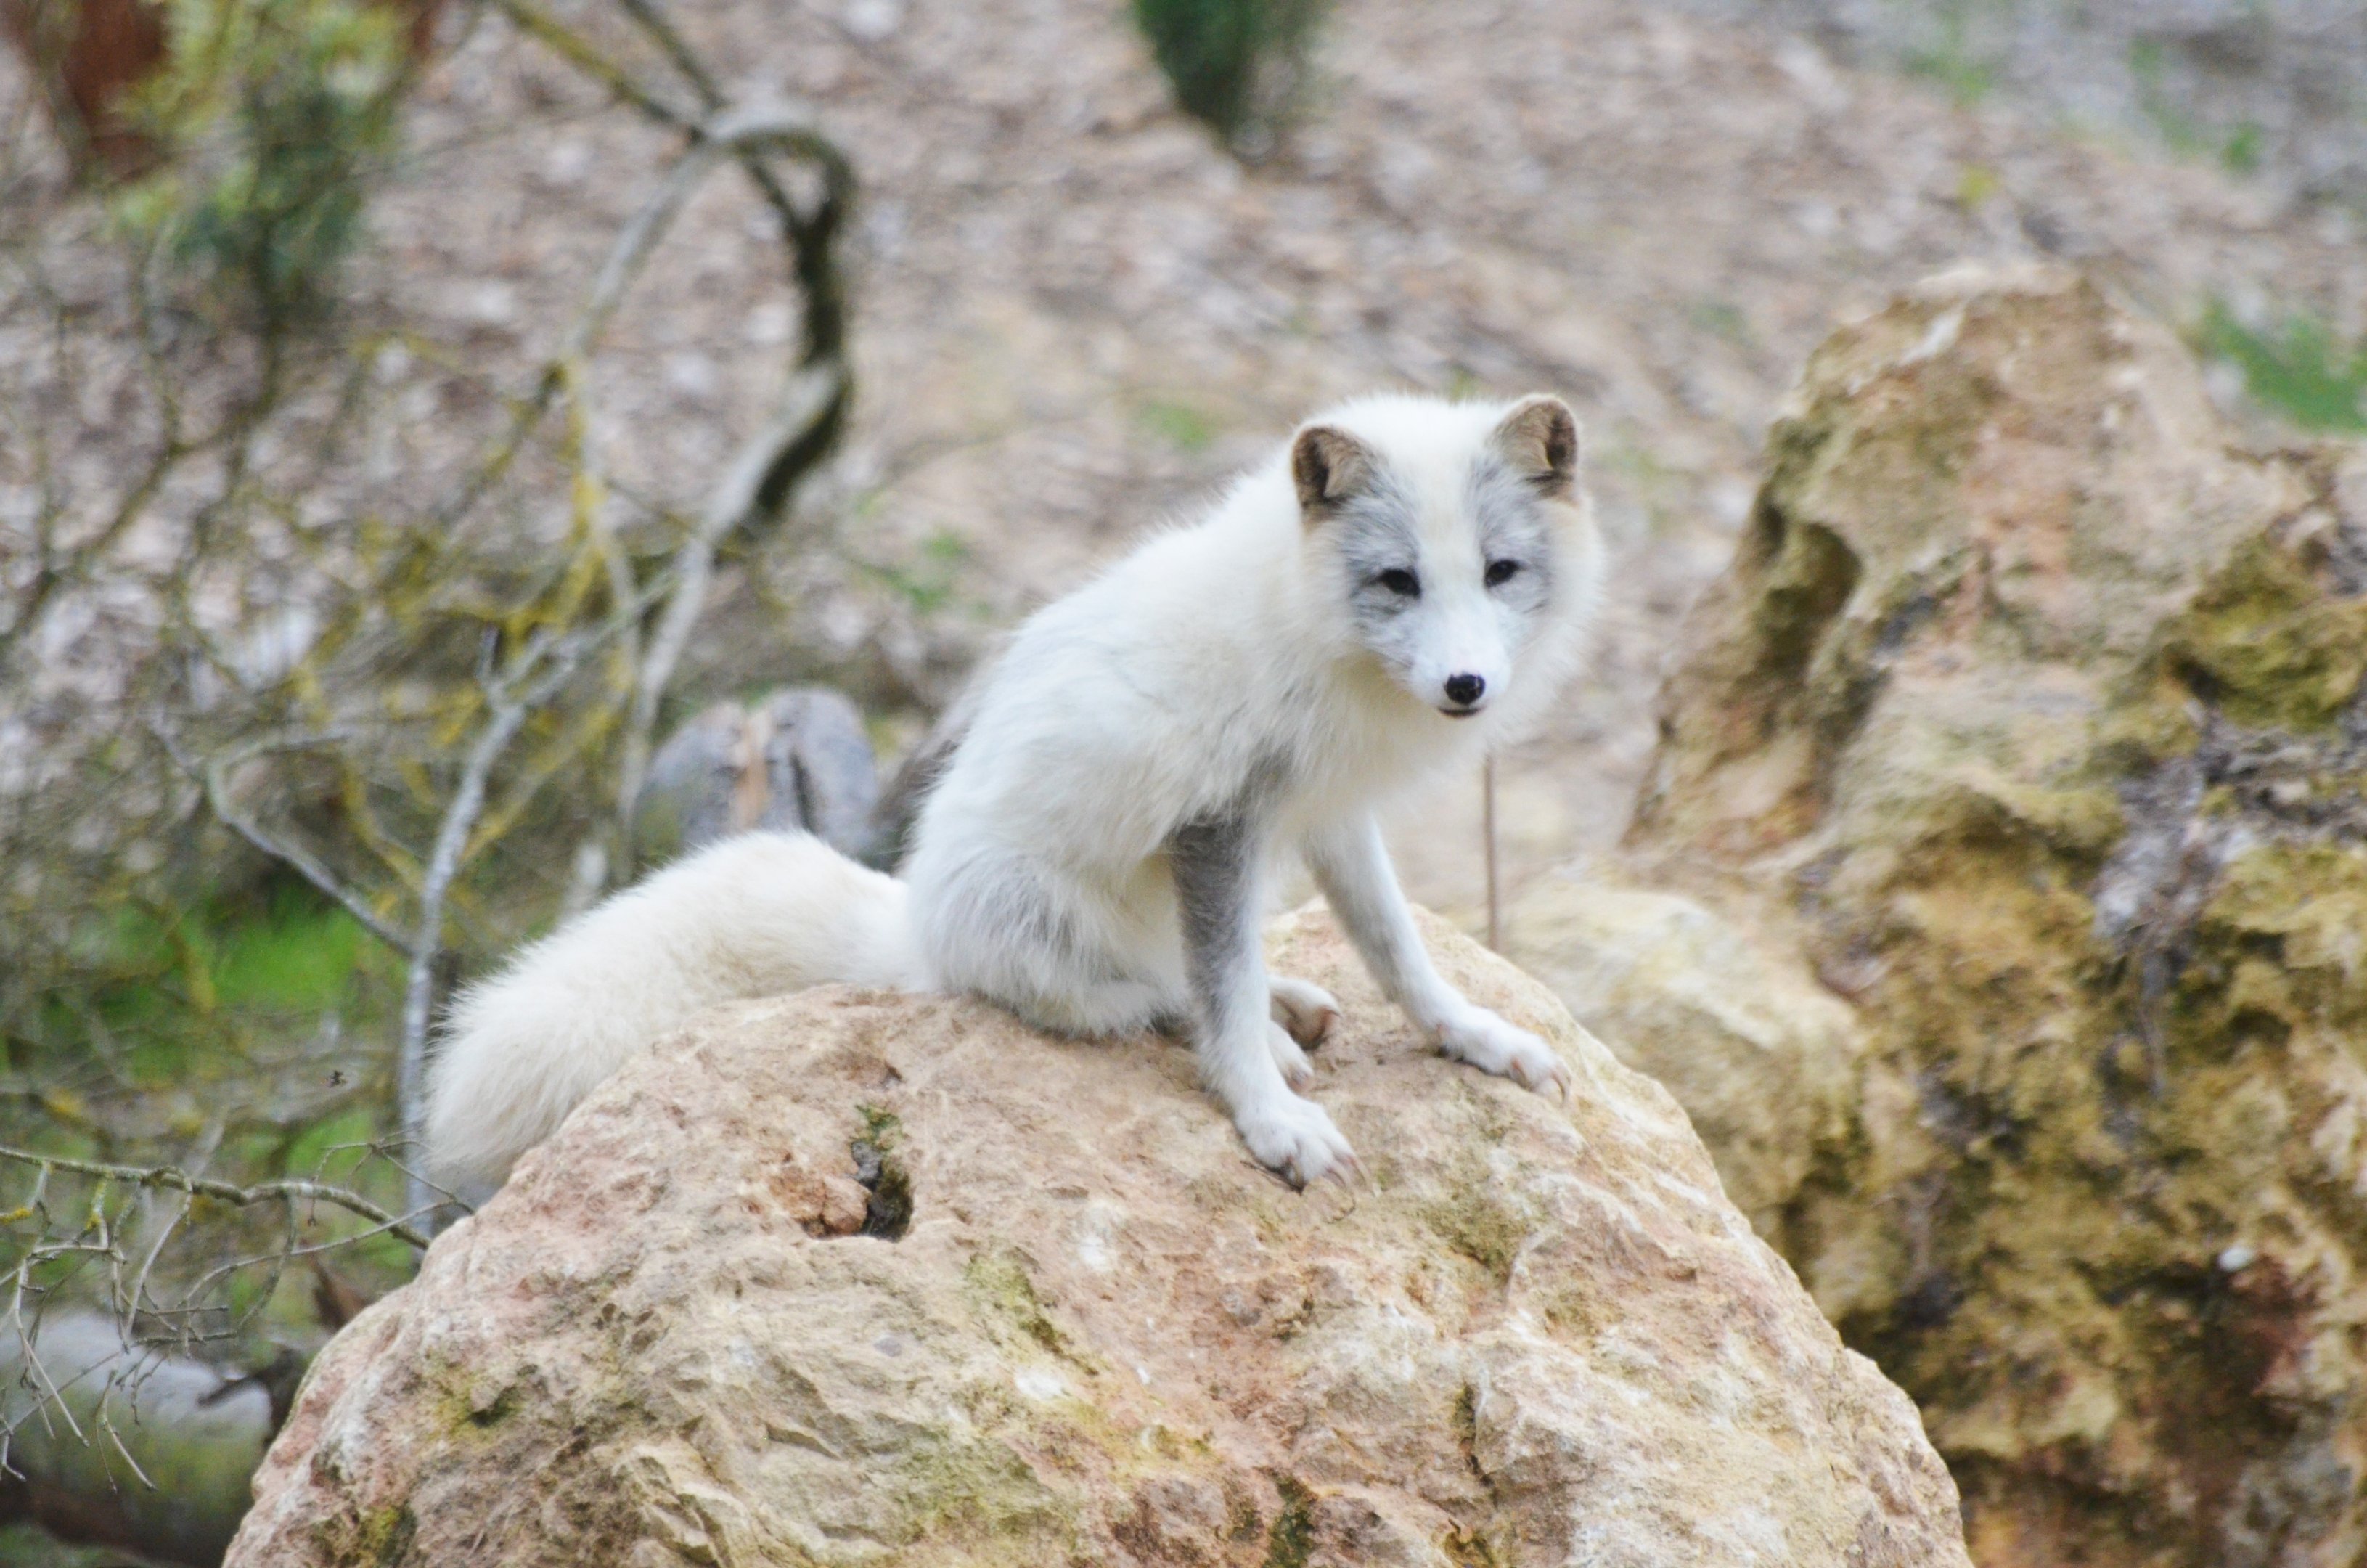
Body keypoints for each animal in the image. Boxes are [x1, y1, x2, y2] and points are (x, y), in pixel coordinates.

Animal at [425, 392, 1602, 1191]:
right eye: (1397, 581)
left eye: (1498, 572)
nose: (1466, 685)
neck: (1314, 627)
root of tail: (911, 923)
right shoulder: (1217, 824)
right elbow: (1219, 989)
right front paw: (1269, 1119)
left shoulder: (1326, 810)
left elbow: (1396, 947)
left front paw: (1468, 1034)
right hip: (1028, 909)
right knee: (1132, 995)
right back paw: (1249, 1028)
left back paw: (1293, 1001)